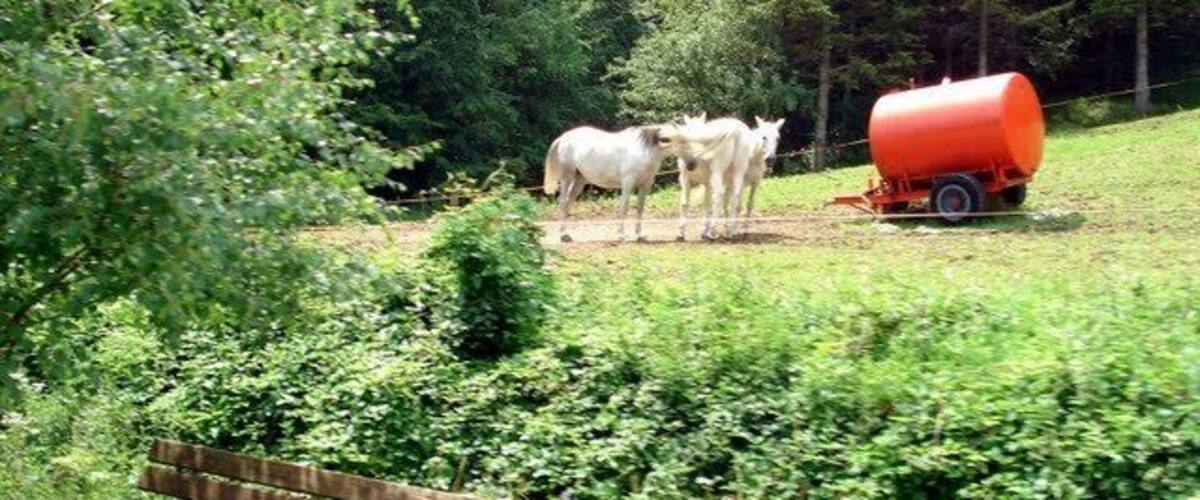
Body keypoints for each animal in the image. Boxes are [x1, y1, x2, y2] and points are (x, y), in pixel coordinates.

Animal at [543, 125, 671, 243]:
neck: (644, 150)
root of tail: (562, 138)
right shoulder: (627, 183)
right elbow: (624, 207)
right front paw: (621, 235)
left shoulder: (645, 185)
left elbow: (640, 208)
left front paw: (639, 235)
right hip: (567, 177)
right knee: (563, 202)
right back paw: (563, 235)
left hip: (579, 181)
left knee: (568, 202)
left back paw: (566, 234)